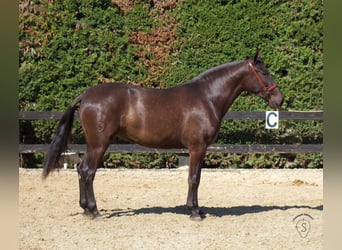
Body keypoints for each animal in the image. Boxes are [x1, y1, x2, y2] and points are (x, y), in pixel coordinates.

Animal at [43, 51, 284, 221]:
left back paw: (85, 209)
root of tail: (86, 95)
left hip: (93, 144)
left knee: (80, 169)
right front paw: (193, 212)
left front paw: (198, 209)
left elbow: (197, 178)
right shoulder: (197, 148)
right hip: (99, 144)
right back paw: (93, 211)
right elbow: (193, 178)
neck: (206, 97)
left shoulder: (200, 150)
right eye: (264, 73)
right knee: (87, 171)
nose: (279, 99)